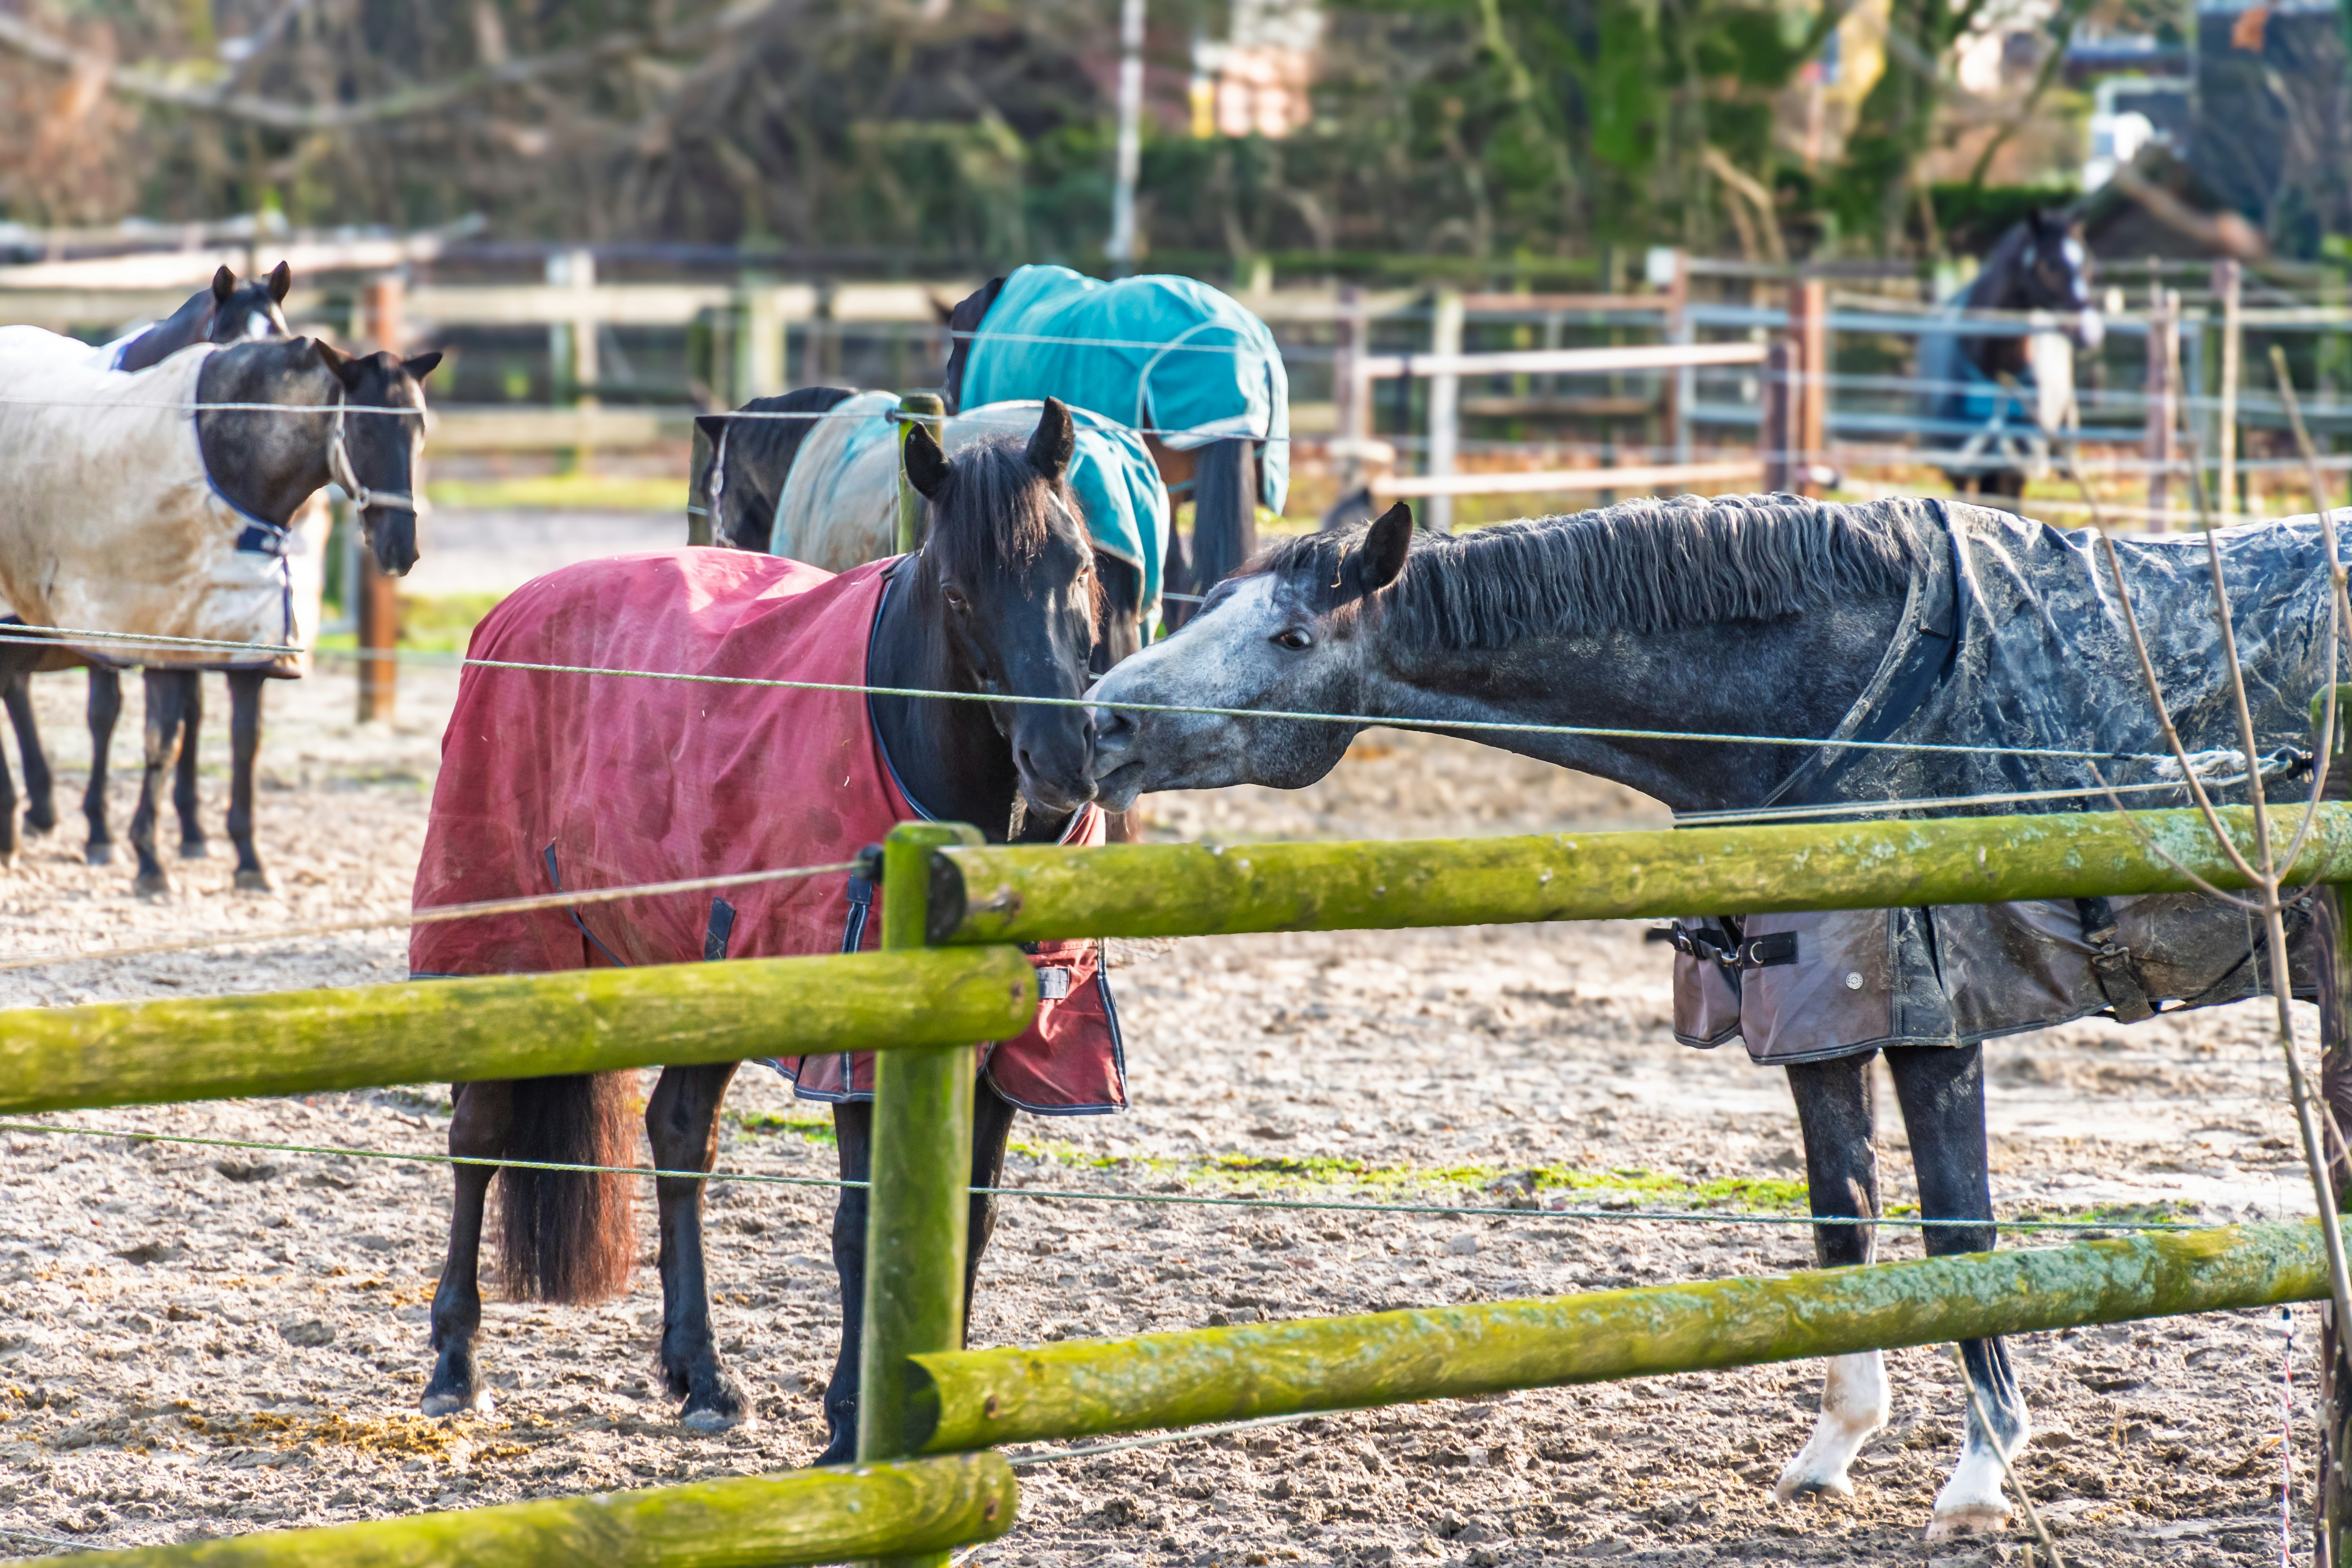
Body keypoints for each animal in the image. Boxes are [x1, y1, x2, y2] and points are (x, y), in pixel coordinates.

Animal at [0, 262, 299, 867]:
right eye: (227, 347)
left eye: (281, 341)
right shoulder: (104, 604)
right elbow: (106, 711)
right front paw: (101, 831)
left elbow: (191, 711)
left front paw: (190, 830)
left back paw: (40, 806)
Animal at [0, 334, 437, 893]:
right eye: (362, 427)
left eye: (419, 429)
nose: (399, 549)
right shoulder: (162, 636)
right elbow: (161, 742)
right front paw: (148, 858)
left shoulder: (242, 648)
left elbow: (244, 742)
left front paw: (247, 859)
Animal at [409, 401, 1121, 1463]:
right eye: (958, 591)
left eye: (1077, 565)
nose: (1061, 763)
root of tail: (511, 611)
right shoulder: (860, 1049)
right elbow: (865, 1224)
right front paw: (852, 1421)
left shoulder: (1015, 1048)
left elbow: (970, 1217)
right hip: (505, 954)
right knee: (479, 1136)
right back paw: (456, 1364)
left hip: (704, 967)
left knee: (676, 1134)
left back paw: (701, 1378)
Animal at [1083, 493, 2338, 1541]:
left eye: (1292, 640)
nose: (1100, 723)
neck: (1835, 700)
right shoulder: (1818, 1020)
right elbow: (1845, 1222)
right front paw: (1833, 1450)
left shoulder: (1937, 1019)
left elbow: (1959, 1236)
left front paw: (1979, 1481)